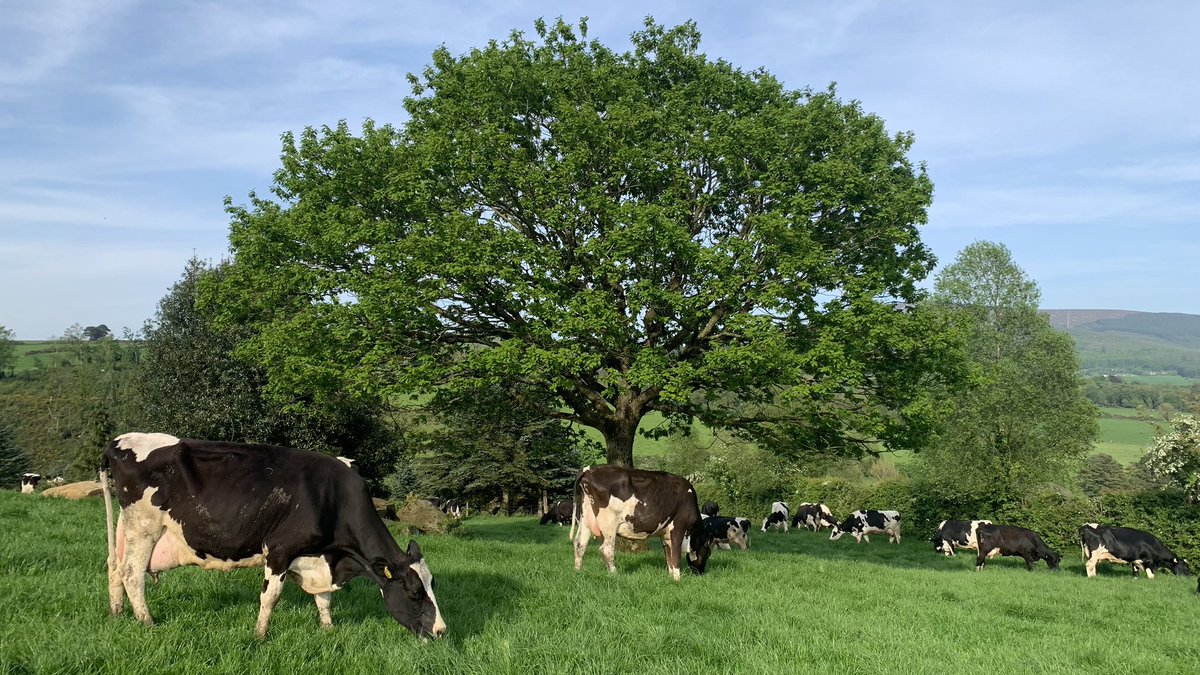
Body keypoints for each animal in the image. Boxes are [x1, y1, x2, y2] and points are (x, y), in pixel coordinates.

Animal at [99, 429, 446, 634]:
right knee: (131, 573)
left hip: (126, 527)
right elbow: (271, 597)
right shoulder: (280, 549)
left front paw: (329, 629)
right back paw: (147, 622)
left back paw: (116, 614)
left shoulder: (319, 558)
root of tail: (118, 441)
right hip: (144, 526)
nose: (441, 631)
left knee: (114, 567)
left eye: (432, 586)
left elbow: (323, 600)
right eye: (415, 594)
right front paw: (260, 635)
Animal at [571, 461, 710, 578]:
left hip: (586, 518)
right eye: (707, 553)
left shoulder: (665, 533)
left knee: (580, 544)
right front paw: (677, 579)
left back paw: (578, 571)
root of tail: (590, 469)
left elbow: (668, 555)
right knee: (606, 549)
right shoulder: (678, 528)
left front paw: (671, 577)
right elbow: (675, 555)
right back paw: (614, 574)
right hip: (609, 523)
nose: (700, 573)